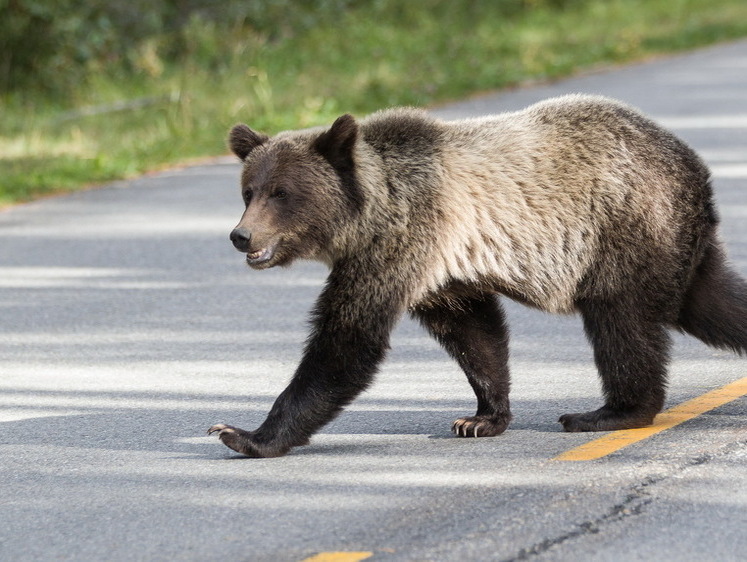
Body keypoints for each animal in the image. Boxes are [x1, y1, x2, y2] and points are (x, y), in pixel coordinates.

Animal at [206, 95, 747, 456]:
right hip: (672, 247)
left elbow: (347, 340)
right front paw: (481, 417)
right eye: (248, 191)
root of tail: (691, 164)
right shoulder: (440, 271)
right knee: (713, 303)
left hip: (624, 227)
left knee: (621, 321)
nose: (241, 236)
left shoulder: (402, 239)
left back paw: (609, 412)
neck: (368, 215)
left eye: (281, 192)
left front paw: (243, 434)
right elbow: (475, 335)